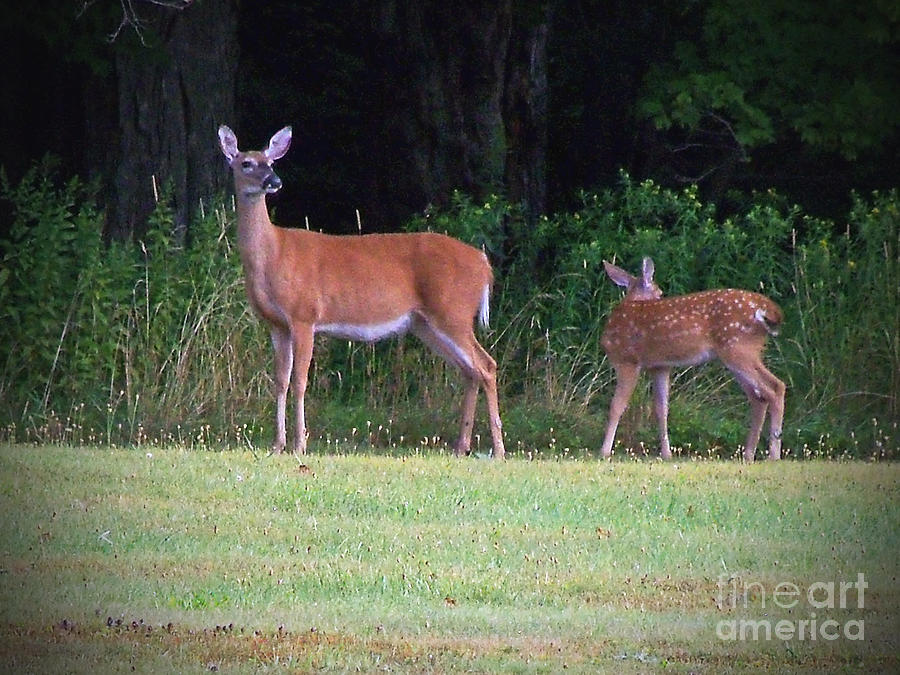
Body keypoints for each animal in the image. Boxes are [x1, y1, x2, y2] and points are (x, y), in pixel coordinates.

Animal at [214, 124, 502, 456]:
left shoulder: (304, 315)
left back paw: (498, 450)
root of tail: (483, 263)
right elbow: (281, 381)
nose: (274, 181)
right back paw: (461, 447)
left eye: (271, 162)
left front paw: (300, 445)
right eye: (247, 163)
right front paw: (277, 445)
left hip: (452, 311)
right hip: (425, 323)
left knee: (487, 365)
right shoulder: (276, 324)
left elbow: (300, 380)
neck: (273, 255)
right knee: (470, 371)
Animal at [600, 256, 784, 462]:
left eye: (660, 292)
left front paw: (604, 451)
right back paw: (749, 454)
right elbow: (661, 409)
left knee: (775, 387)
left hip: (738, 348)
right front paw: (667, 454)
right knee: (758, 397)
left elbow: (616, 406)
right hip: (740, 352)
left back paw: (773, 454)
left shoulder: (627, 360)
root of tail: (768, 309)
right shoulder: (660, 366)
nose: (661, 296)